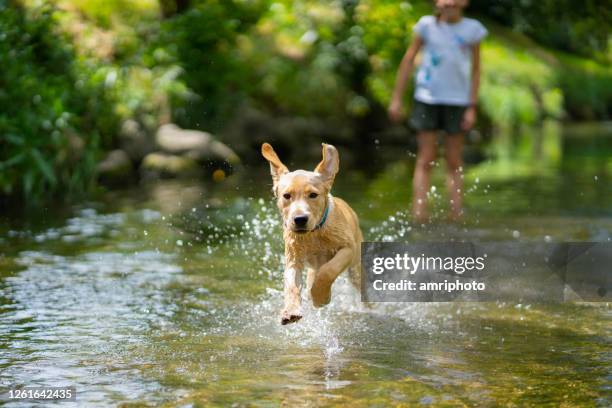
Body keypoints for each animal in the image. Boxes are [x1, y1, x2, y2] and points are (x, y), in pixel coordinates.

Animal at [260, 143, 364, 326]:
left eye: (313, 195)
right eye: (286, 196)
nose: (300, 219)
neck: (314, 233)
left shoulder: (348, 249)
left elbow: (328, 270)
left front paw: (320, 297)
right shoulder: (293, 261)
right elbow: (292, 287)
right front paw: (291, 310)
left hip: (356, 268)